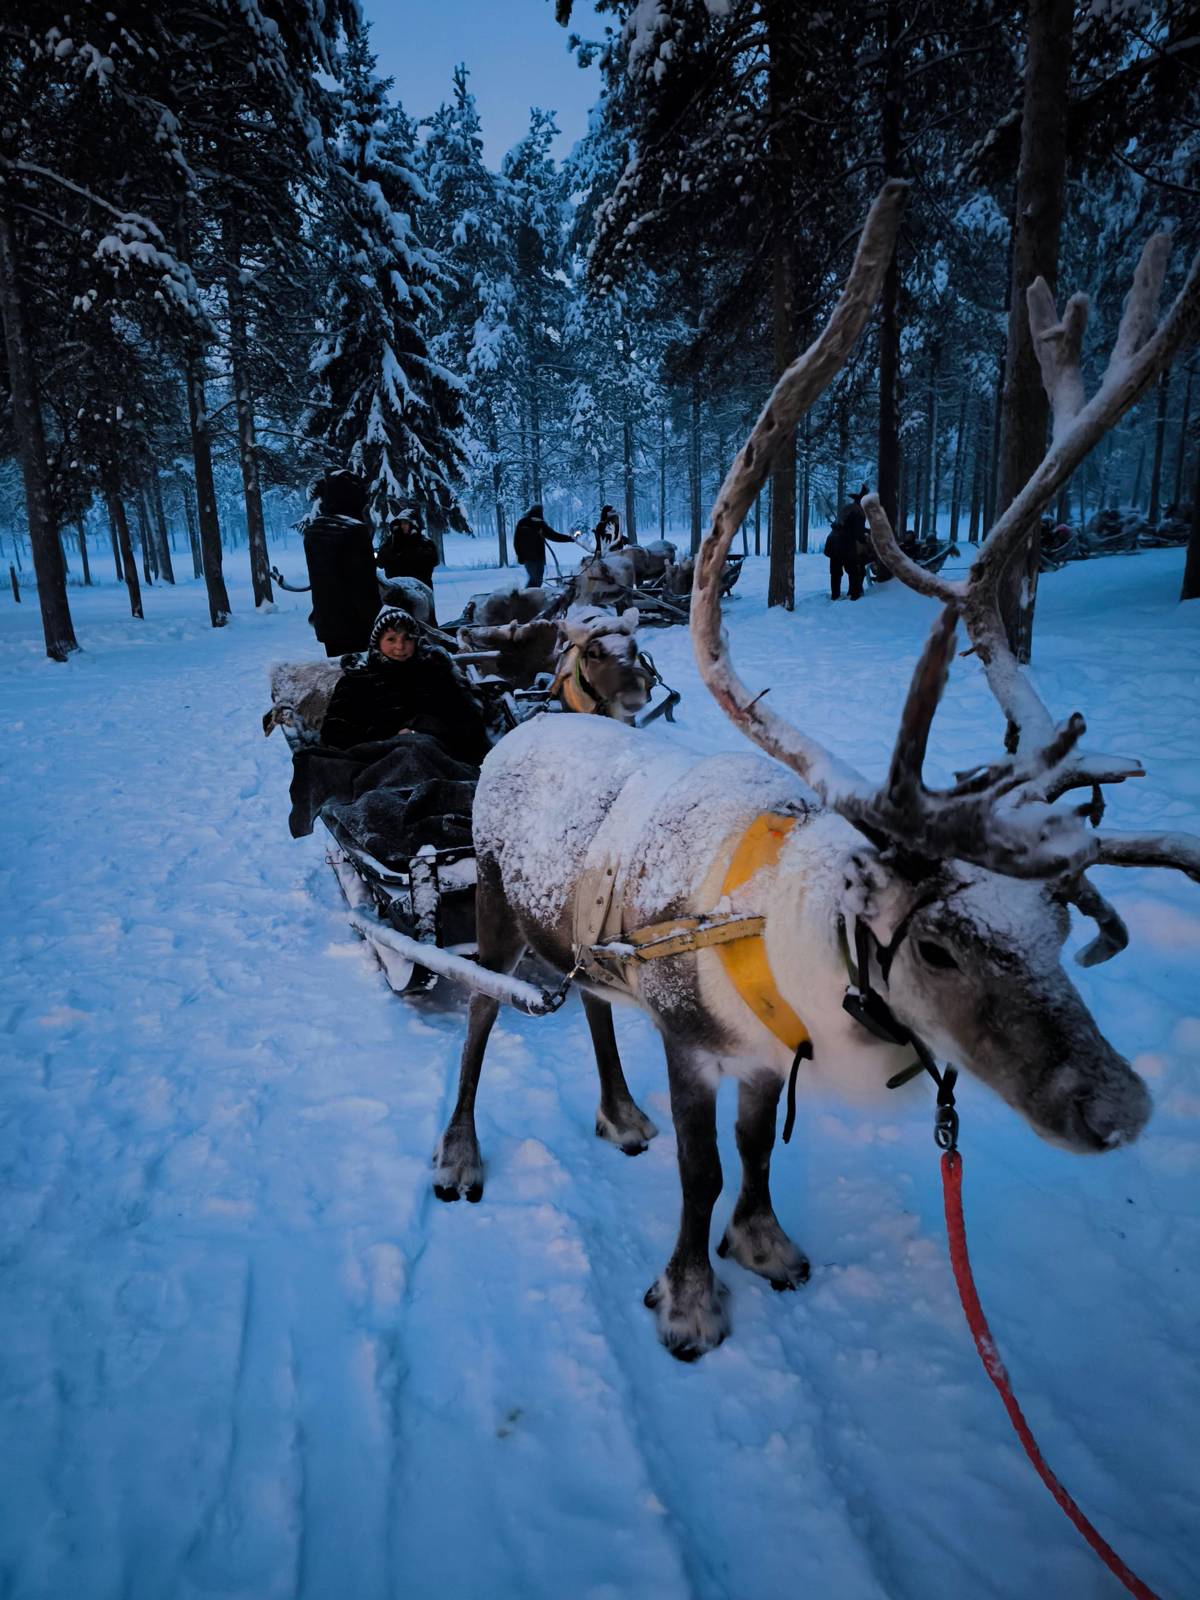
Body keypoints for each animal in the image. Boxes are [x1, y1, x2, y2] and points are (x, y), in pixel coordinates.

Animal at [433, 181, 1200, 1360]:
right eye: (936, 943)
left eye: (1056, 924)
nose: (1120, 1111)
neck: (779, 927)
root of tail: (517, 730)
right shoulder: (696, 1040)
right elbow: (702, 1173)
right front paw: (690, 1298)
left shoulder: (761, 1056)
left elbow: (755, 1157)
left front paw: (763, 1242)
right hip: (495, 909)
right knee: (481, 1014)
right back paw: (460, 1153)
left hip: (580, 932)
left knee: (591, 1001)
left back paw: (615, 1111)